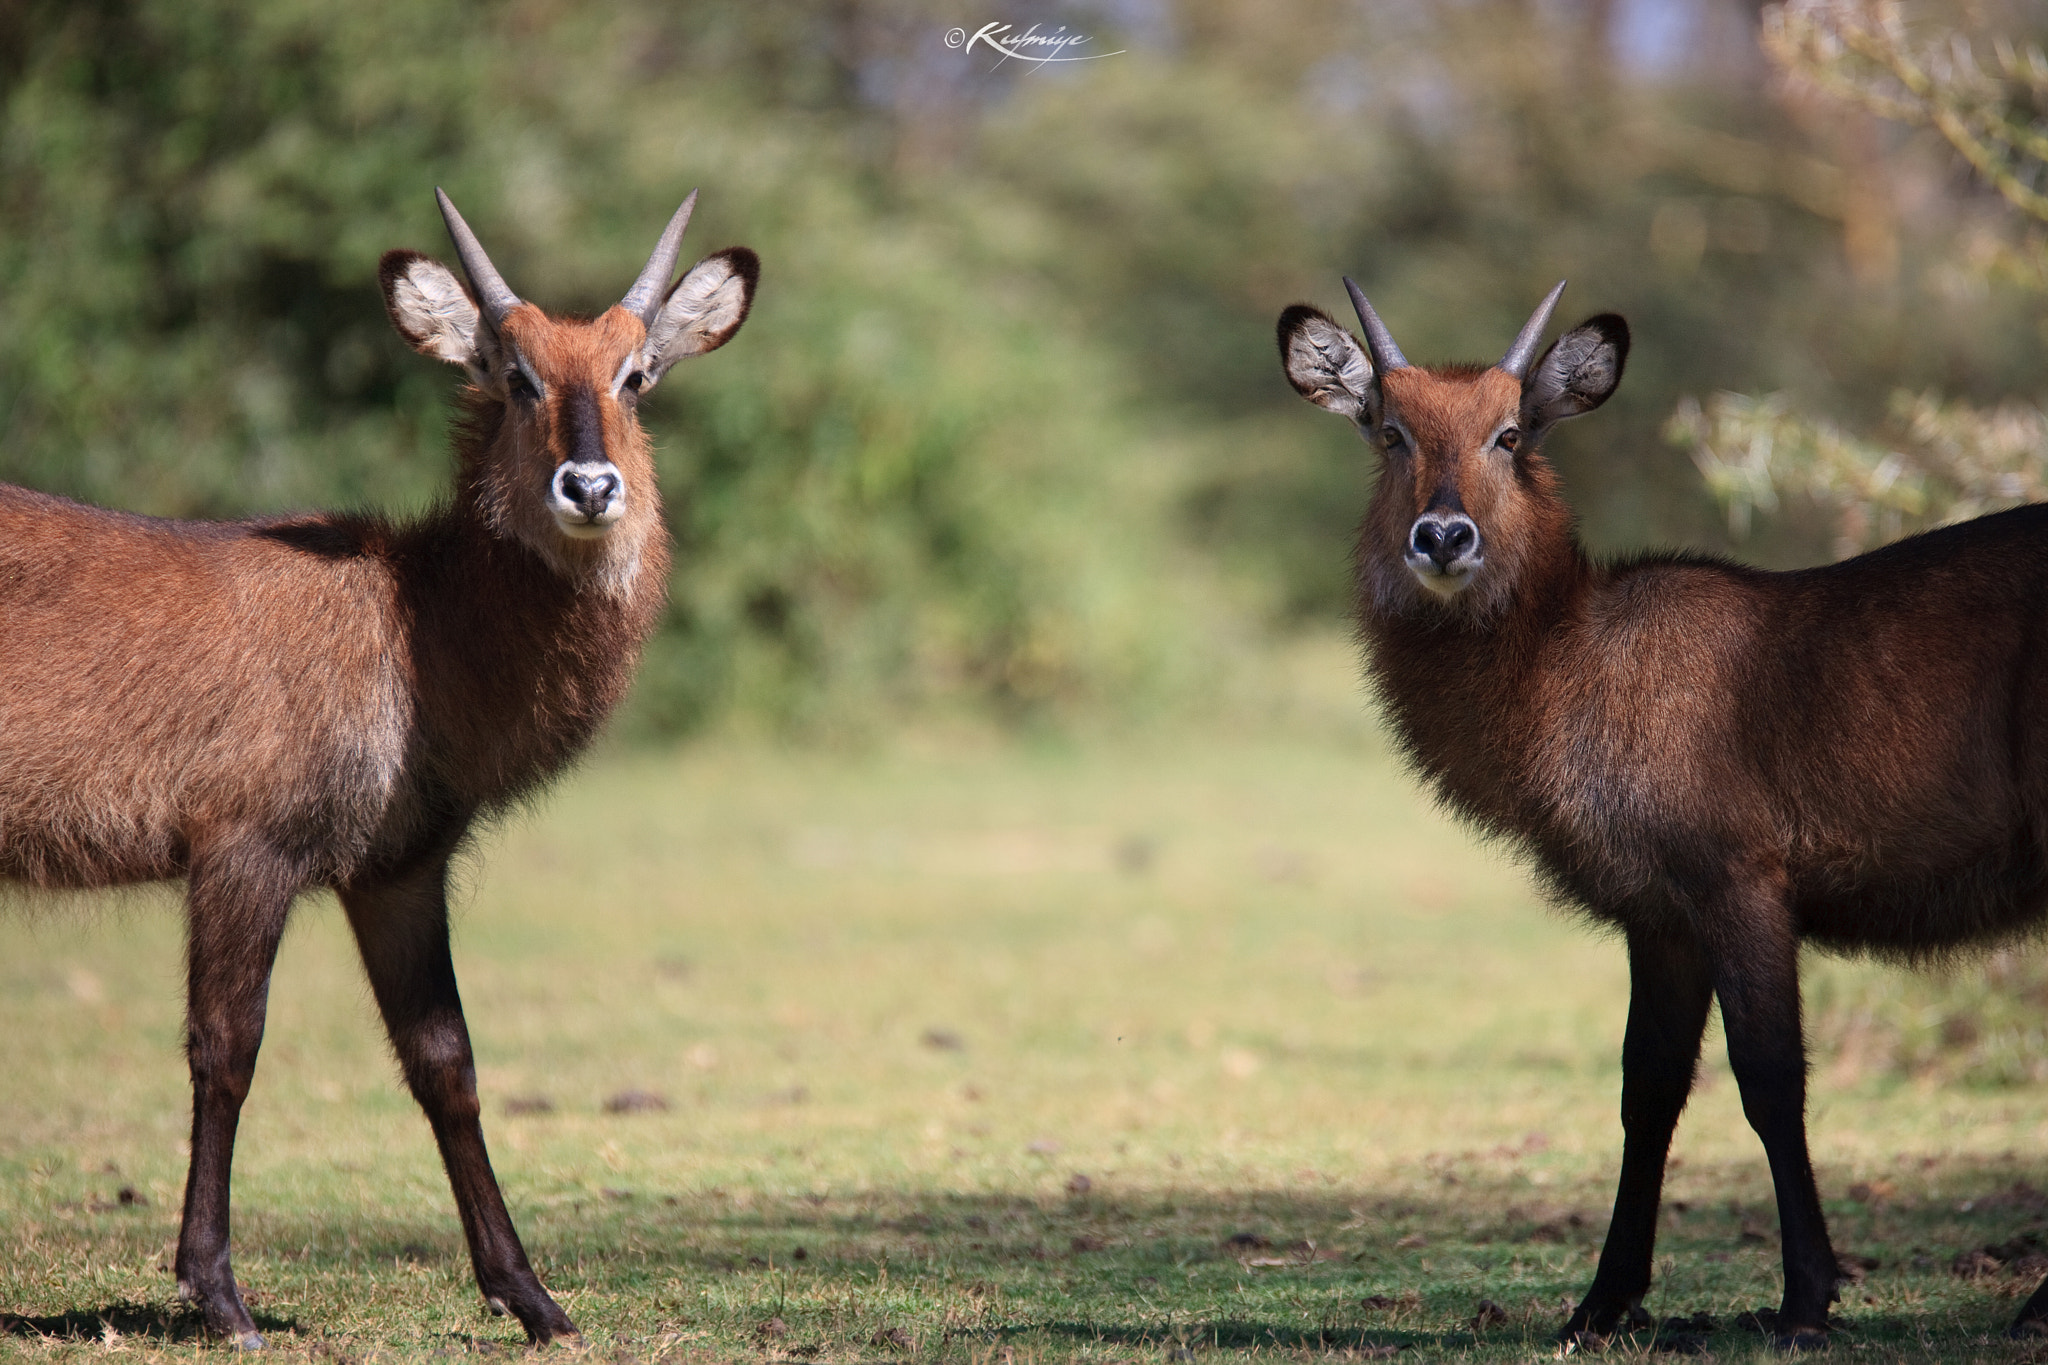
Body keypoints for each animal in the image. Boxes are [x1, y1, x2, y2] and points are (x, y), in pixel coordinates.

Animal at [0, 192, 761, 1342]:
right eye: (513, 372)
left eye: (637, 375)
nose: (589, 485)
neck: (416, 626)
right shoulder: (245, 851)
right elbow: (226, 1048)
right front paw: (219, 1293)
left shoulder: (397, 870)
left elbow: (446, 1062)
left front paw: (532, 1296)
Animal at [1277, 286, 2048, 1342]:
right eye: (1391, 431)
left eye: (1509, 433)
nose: (1443, 536)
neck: (1564, 659)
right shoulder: (1658, 912)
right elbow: (1646, 1089)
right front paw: (1600, 1303)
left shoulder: (1740, 881)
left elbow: (1769, 1078)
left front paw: (1805, 1300)